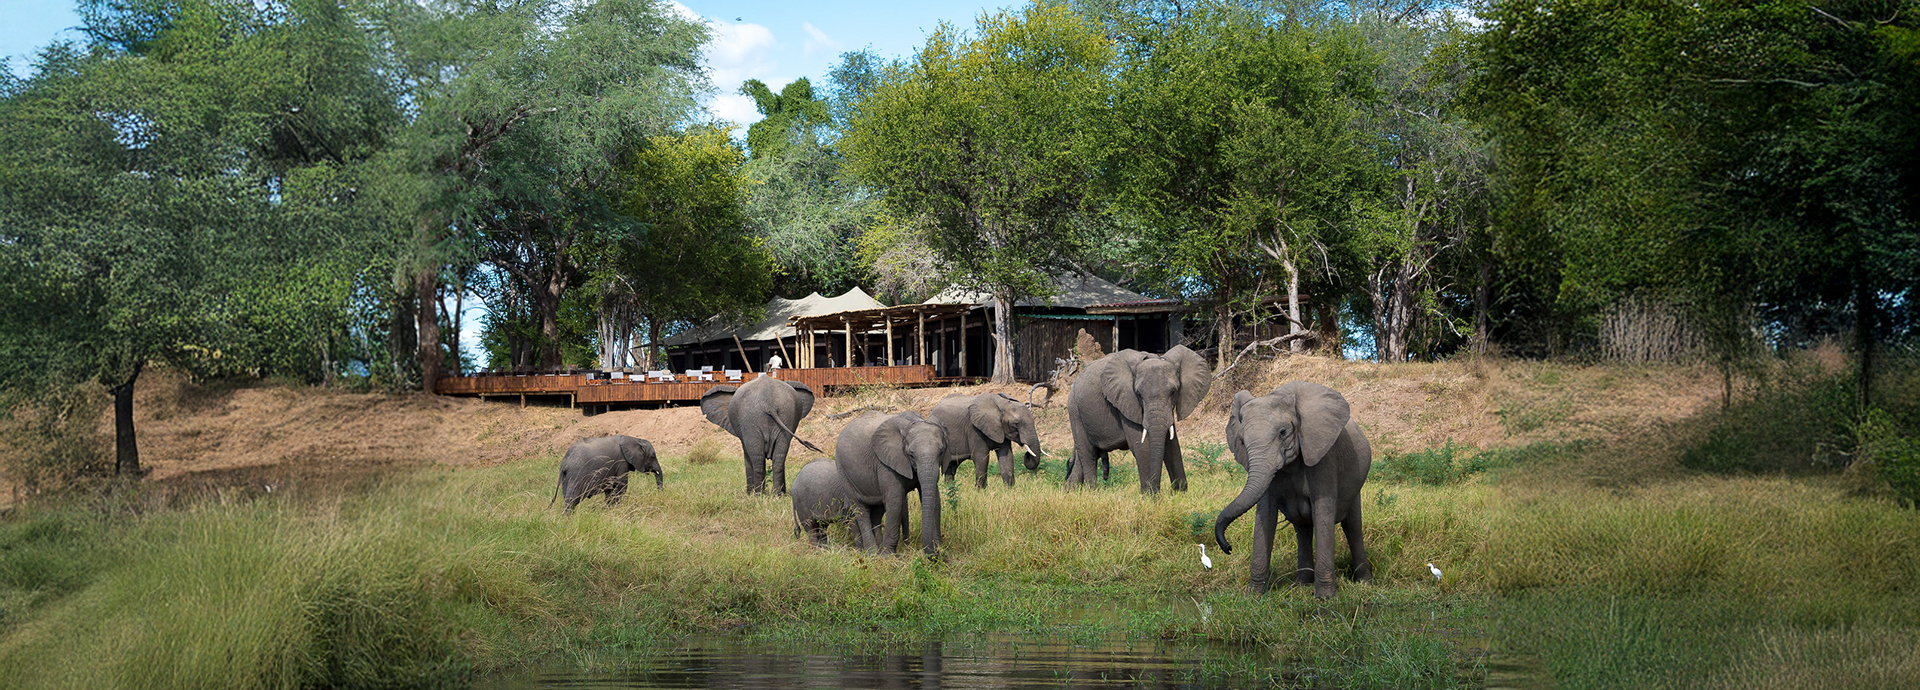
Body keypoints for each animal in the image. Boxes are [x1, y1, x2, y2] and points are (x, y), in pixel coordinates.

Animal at [833, 411, 948, 557]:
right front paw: (888, 557)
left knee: (877, 511)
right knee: (860, 509)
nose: (934, 555)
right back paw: (872, 553)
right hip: (843, 471)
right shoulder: (884, 463)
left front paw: (941, 551)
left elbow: (935, 500)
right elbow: (895, 500)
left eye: (941, 452)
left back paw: (877, 549)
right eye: (911, 455)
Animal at [1063, 345, 1212, 493]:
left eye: (1174, 392)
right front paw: (1150, 496)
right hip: (1074, 410)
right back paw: (1091, 492)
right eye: (1139, 394)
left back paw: (1071, 491)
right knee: (1088, 454)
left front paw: (1179, 494)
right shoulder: (1126, 401)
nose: (1157, 492)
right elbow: (1142, 445)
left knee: (1084, 457)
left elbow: (1172, 443)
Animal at [1213, 382, 1373, 599]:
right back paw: (1301, 585)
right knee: (1302, 529)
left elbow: (1323, 512)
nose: (1228, 548)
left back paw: (1365, 583)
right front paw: (1253, 596)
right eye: (1243, 442)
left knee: (1353, 526)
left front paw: (1326, 599)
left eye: (1283, 432)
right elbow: (1265, 515)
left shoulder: (1324, 454)